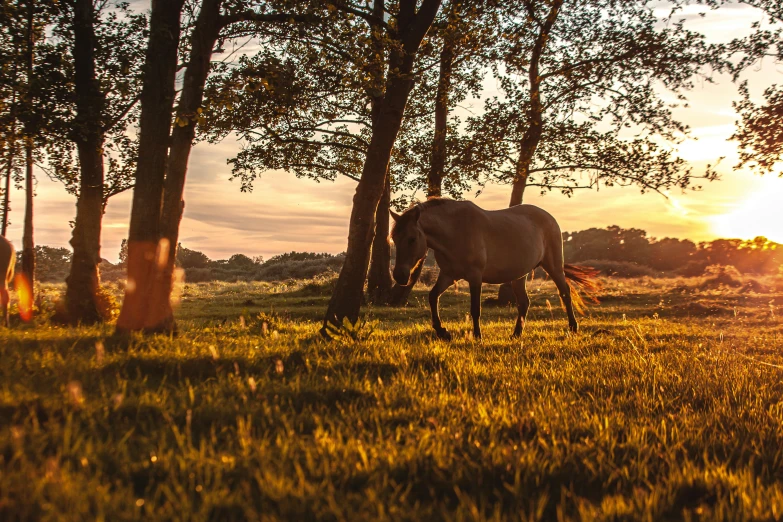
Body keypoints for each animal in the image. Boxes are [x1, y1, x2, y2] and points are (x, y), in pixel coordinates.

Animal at [392, 197, 600, 340]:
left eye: (412, 239)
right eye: (394, 237)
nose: (399, 276)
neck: (455, 230)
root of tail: (549, 218)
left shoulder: (475, 277)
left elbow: (475, 309)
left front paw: (477, 336)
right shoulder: (448, 275)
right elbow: (433, 296)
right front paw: (442, 332)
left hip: (553, 266)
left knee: (565, 293)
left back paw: (573, 327)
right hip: (519, 275)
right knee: (524, 302)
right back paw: (516, 334)